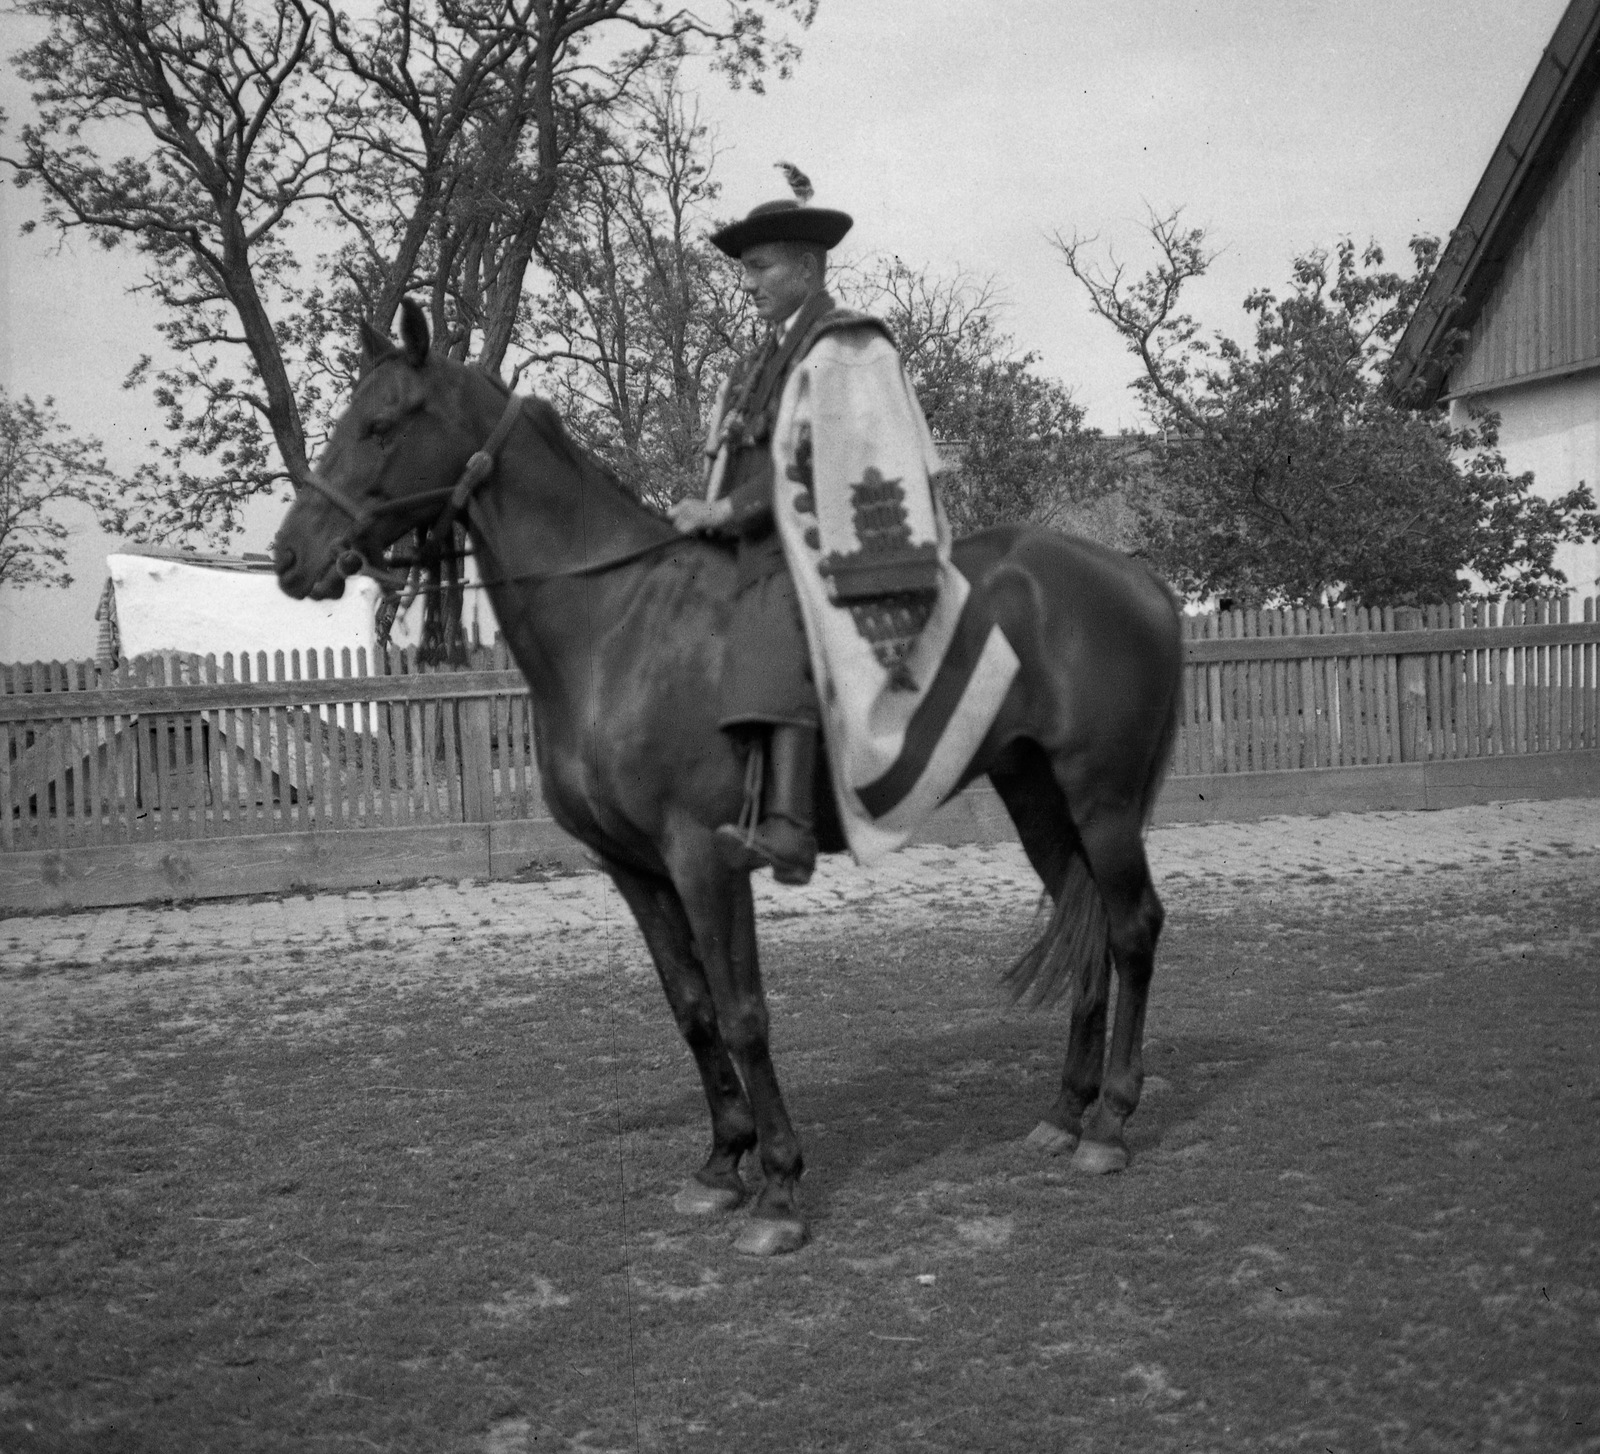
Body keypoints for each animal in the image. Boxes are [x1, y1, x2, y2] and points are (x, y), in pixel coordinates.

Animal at [268, 300, 1184, 1254]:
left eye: (380, 425)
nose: (291, 556)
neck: (615, 625)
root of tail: (1133, 575)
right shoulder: (636, 871)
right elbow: (694, 1010)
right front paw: (721, 1164)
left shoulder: (706, 859)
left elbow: (745, 1012)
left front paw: (778, 1186)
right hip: (1037, 795)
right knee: (1084, 921)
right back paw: (1065, 1114)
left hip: (1103, 800)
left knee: (1131, 929)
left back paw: (1111, 1122)